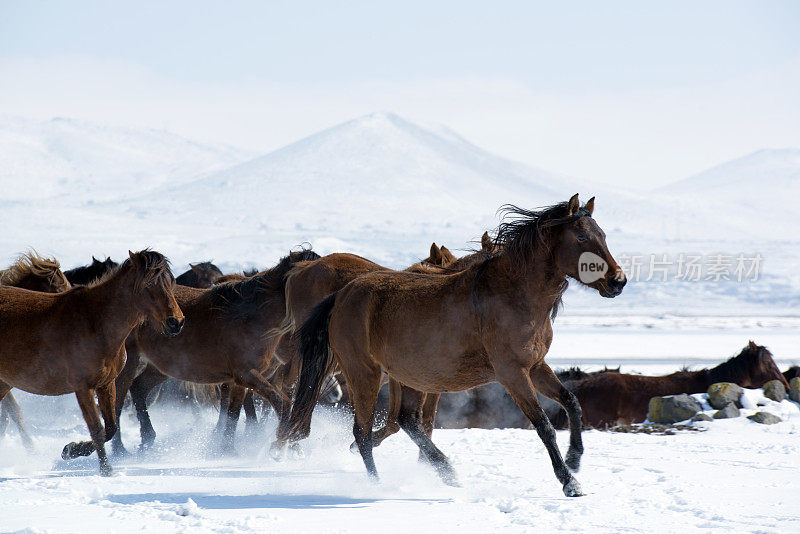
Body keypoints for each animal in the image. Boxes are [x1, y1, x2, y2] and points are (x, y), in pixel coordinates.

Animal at [282, 196, 624, 498]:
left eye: (603, 235)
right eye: (581, 236)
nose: (618, 281)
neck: (514, 296)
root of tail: (342, 295)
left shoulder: (536, 366)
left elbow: (572, 402)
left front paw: (575, 459)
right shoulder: (512, 373)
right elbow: (543, 425)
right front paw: (570, 482)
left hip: (409, 376)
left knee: (406, 421)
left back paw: (445, 471)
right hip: (363, 374)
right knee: (363, 432)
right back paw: (380, 485)